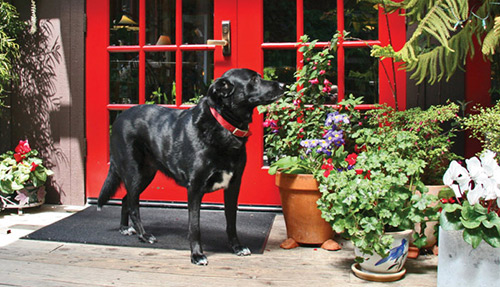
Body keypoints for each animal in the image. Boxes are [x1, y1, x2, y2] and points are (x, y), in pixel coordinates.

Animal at [97, 68, 284, 266]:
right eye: (254, 79)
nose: (283, 85)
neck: (223, 126)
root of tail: (120, 118)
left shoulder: (234, 185)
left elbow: (231, 220)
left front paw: (237, 247)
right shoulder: (194, 188)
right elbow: (194, 226)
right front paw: (197, 255)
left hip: (146, 174)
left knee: (126, 199)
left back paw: (125, 228)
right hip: (135, 172)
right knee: (133, 205)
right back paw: (144, 235)